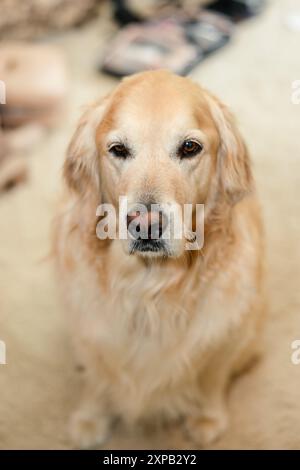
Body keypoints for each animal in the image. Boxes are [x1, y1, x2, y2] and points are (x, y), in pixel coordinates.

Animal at [54, 70, 264, 448]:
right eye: (118, 150)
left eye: (190, 147)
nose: (146, 224)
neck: (150, 287)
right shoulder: (89, 327)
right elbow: (96, 373)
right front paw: (90, 418)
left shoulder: (226, 331)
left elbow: (213, 374)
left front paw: (207, 418)